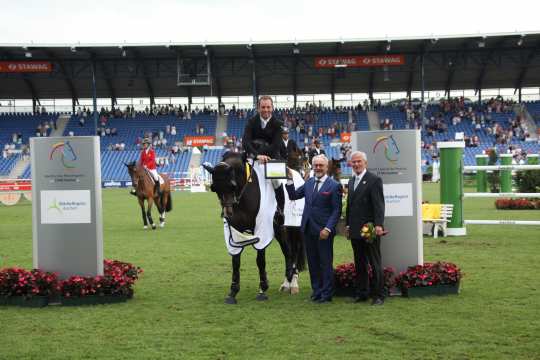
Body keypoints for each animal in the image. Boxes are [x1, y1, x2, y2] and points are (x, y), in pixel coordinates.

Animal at [202, 152, 270, 304]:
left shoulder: (261, 229)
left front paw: (262, 289)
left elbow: (260, 260)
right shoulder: (235, 231)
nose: (227, 214)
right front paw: (233, 292)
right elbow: (235, 261)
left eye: (232, 186)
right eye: (214, 188)